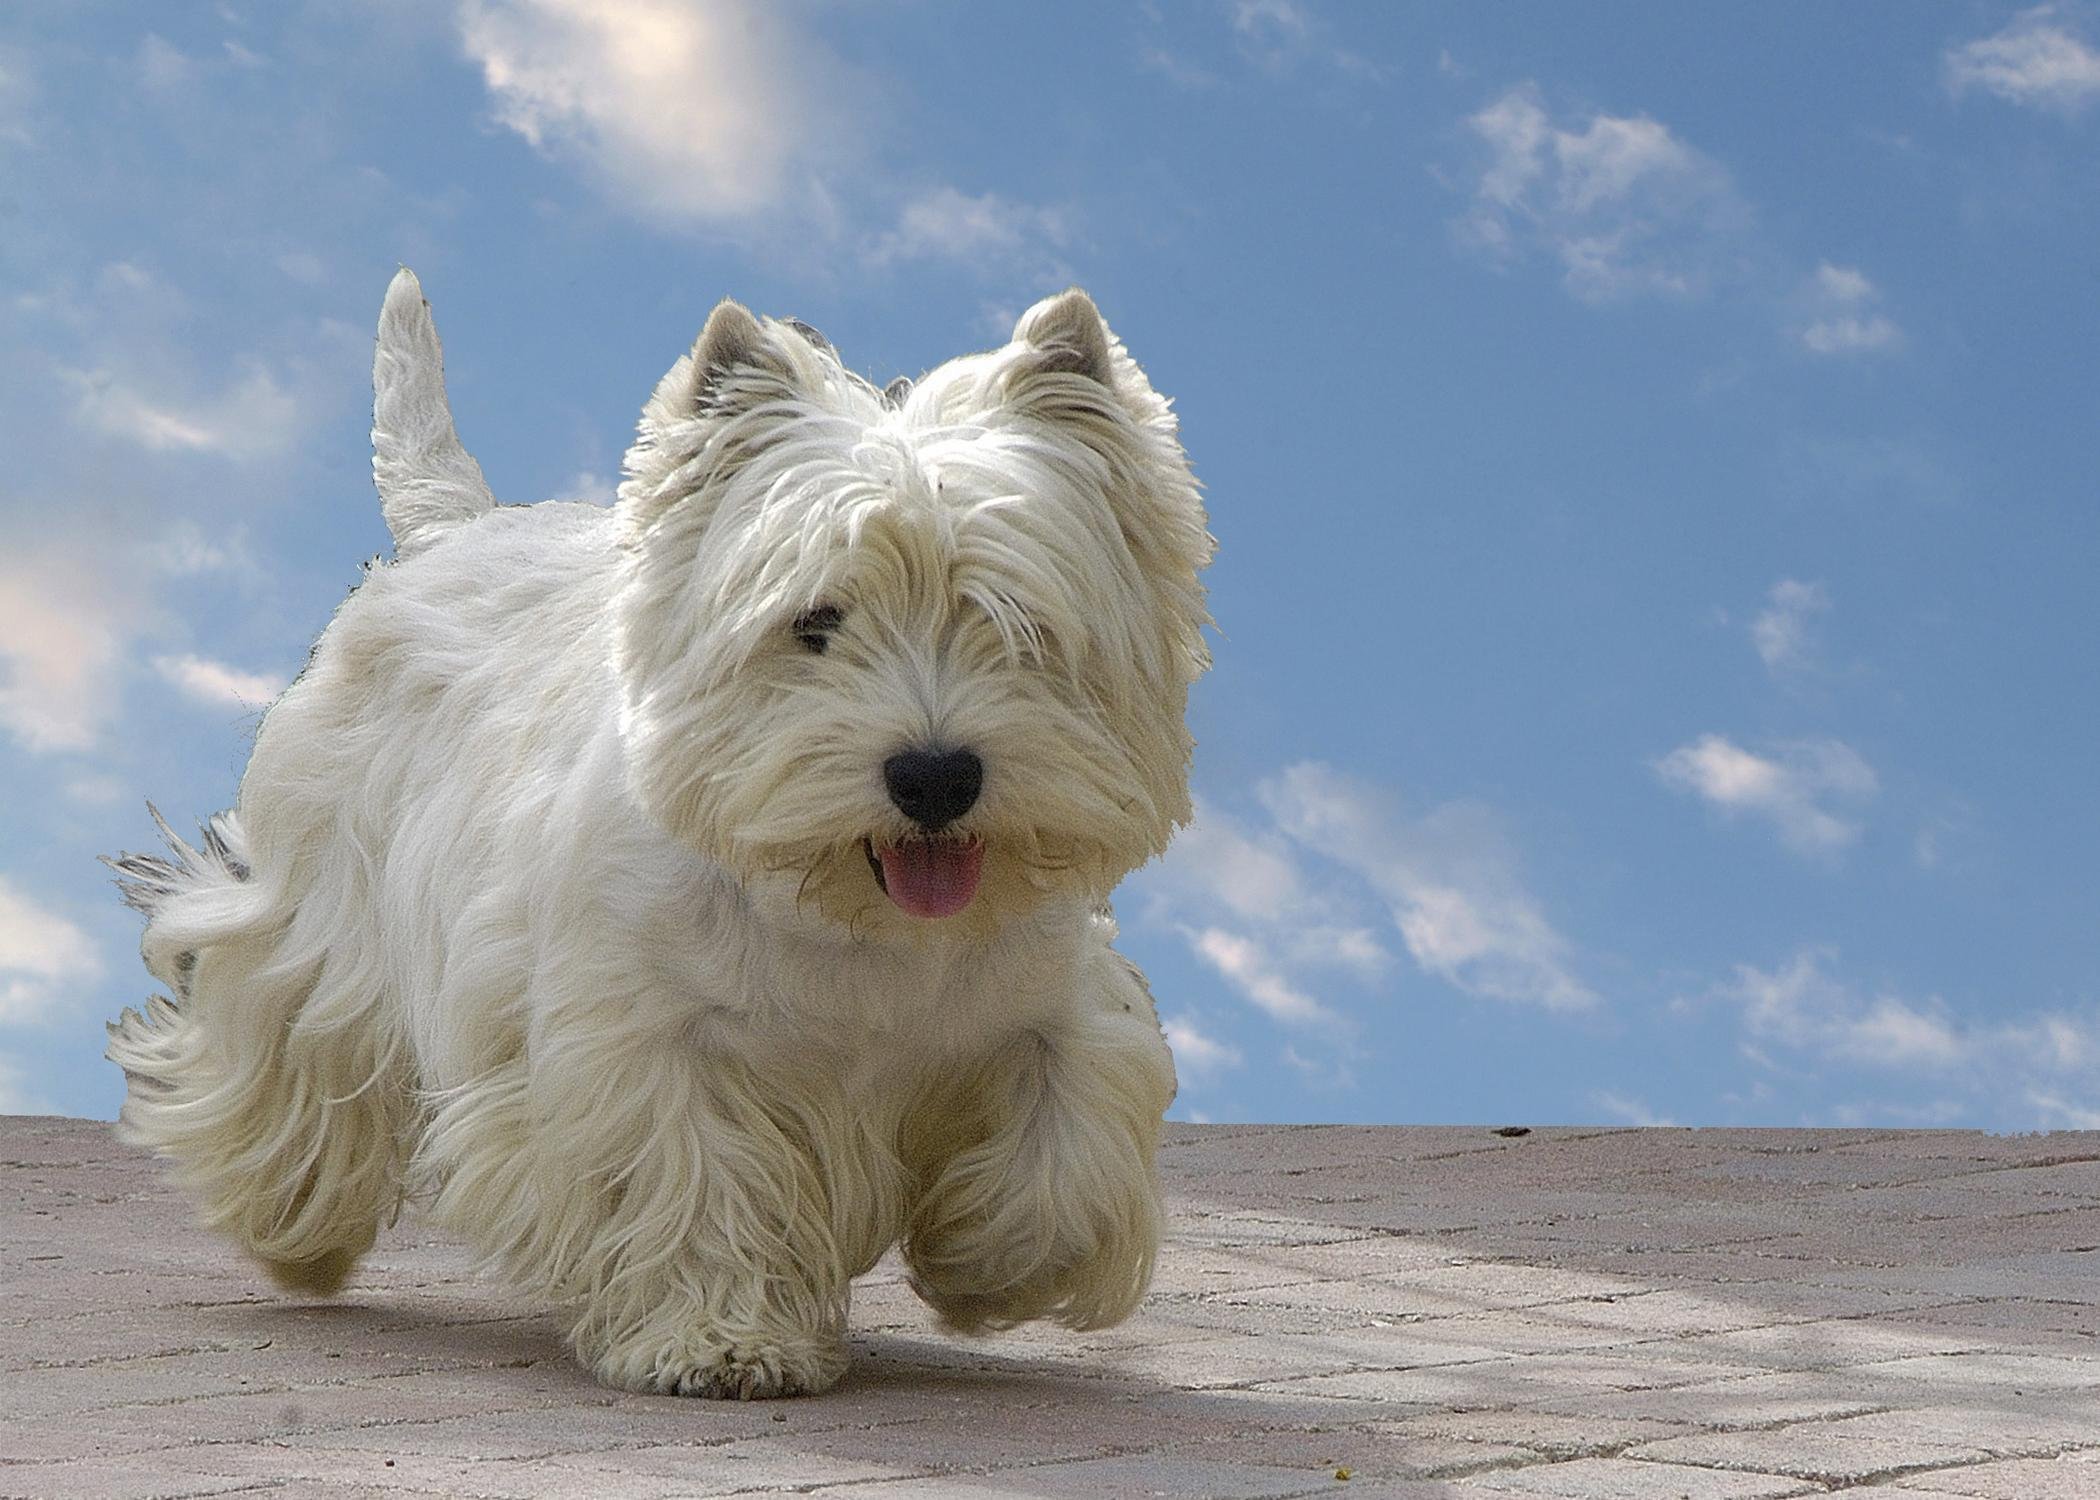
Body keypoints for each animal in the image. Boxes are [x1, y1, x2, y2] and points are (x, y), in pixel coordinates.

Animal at [106, 265, 1218, 1386]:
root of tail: (456, 528)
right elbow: (686, 1177)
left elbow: (1064, 1154)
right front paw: (718, 1340)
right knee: (294, 1053)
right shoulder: (638, 1038)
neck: (849, 918)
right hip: (327, 918)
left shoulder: (1053, 1011)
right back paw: (296, 1227)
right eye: (815, 624)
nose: (935, 777)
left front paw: (989, 1265)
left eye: (1013, 621)